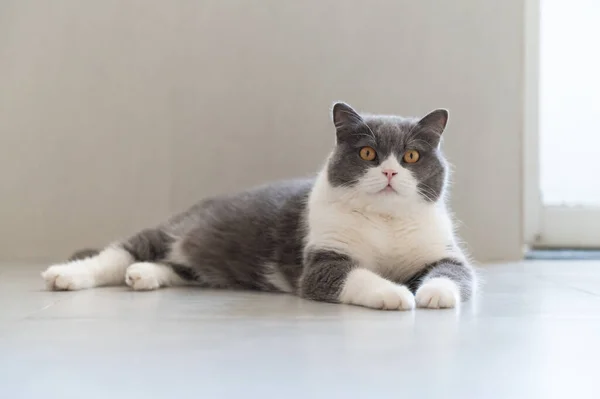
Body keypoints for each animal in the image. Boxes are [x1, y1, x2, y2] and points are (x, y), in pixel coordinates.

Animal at [41, 102, 474, 310]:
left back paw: (144, 275)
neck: (384, 221)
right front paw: (395, 295)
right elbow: (354, 277)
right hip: (172, 230)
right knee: (119, 252)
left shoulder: (441, 249)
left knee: (176, 268)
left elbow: (456, 273)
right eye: (368, 153)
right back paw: (67, 275)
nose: (389, 172)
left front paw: (435, 294)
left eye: (412, 156)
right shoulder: (322, 261)